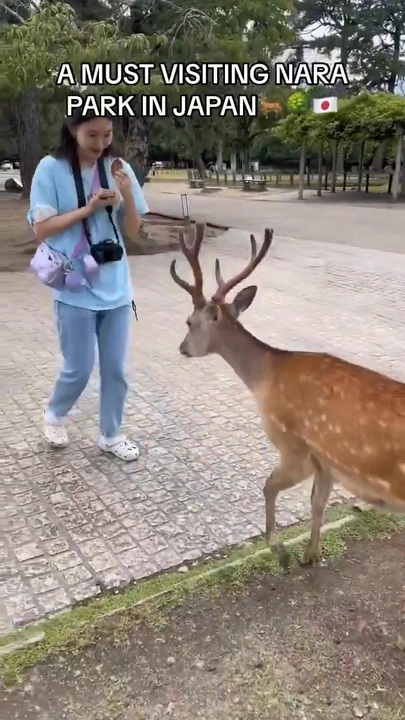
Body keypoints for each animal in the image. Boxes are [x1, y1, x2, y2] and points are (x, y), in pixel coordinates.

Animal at [170, 222, 405, 567]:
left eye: (188, 321)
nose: (182, 348)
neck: (266, 378)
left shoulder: (293, 445)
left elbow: (268, 487)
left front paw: (278, 548)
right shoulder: (325, 461)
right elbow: (317, 504)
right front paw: (310, 555)